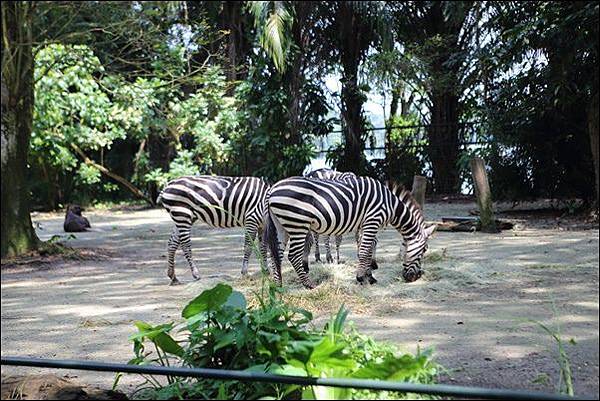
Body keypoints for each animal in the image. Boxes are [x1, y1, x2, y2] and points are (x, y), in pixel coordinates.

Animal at [262, 175, 436, 288]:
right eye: (424, 250)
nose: (415, 277)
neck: (391, 205)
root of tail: (273, 189)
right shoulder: (372, 220)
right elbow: (365, 251)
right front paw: (361, 278)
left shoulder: (364, 225)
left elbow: (366, 250)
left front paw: (369, 277)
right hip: (298, 224)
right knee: (293, 255)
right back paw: (309, 284)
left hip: (281, 226)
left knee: (276, 254)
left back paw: (277, 286)